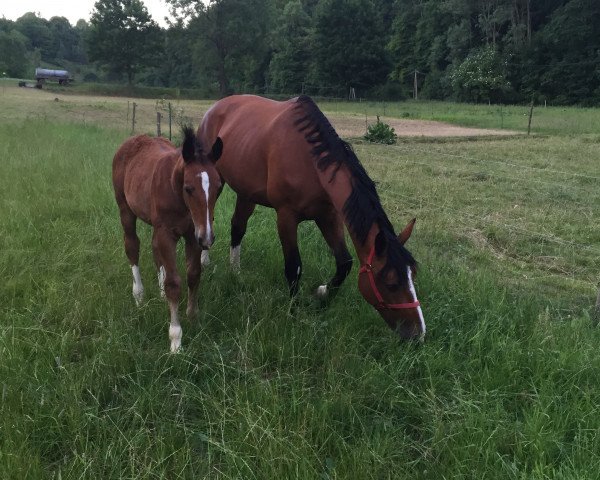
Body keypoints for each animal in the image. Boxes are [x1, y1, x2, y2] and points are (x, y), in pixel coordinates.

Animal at [112, 126, 223, 352]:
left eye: (219, 187)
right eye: (189, 188)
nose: (208, 238)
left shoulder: (192, 234)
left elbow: (194, 275)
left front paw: (193, 317)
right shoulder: (167, 233)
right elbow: (174, 283)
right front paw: (176, 339)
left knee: (154, 249)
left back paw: (160, 290)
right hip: (125, 209)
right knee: (132, 246)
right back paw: (139, 295)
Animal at [199, 95, 424, 340]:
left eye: (413, 274)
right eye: (391, 283)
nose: (418, 335)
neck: (309, 161)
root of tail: (216, 107)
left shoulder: (328, 217)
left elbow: (344, 262)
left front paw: (323, 294)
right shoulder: (286, 217)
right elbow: (293, 267)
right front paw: (293, 312)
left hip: (246, 193)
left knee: (237, 227)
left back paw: (235, 272)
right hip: (215, 181)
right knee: (208, 218)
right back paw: (204, 261)